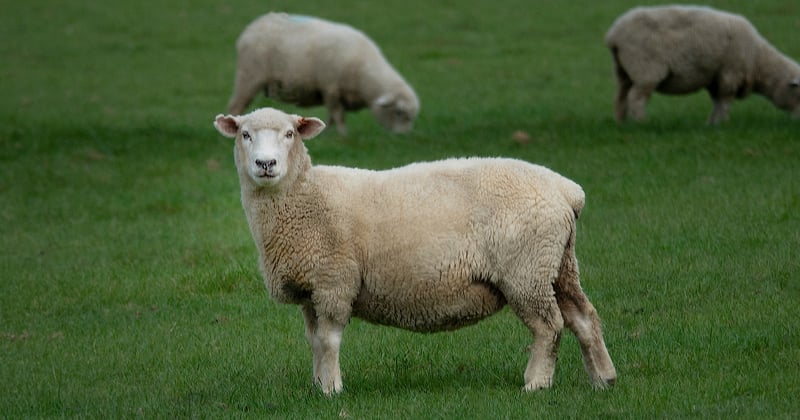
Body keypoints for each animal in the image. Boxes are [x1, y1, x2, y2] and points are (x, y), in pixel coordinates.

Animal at [212, 107, 617, 395]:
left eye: (290, 133)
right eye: (245, 134)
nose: (266, 164)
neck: (304, 198)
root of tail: (566, 191)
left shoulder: (334, 280)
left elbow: (328, 341)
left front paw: (332, 390)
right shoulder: (312, 288)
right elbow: (313, 341)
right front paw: (317, 385)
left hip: (526, 269)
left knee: (549, 326)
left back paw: (536, 383)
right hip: (558, 263)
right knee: (584, 318)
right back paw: (603, 379)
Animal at [226, 13, 420, 136]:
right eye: (399, 113)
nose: (403, 136)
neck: (364, 77)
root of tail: (252, 27)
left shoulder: (335, 93)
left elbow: (331, 117)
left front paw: (326, 133)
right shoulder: (331, 88)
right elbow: (338, 115)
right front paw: (343, 135)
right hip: (248, 76)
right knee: (235, 107)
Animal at [605, 5, 800, 124]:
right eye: (798, 93)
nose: (796, 121)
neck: (758, 59)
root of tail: (614, 35)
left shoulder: (715, 78)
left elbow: (717, 101)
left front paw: (712, 124)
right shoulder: (730, 74)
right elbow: (724, 102)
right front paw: (722, 123)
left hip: (623, 70)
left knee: (621, 97)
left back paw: (622, 123)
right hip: (645, 69)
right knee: (636, 98)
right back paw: (642, 122)